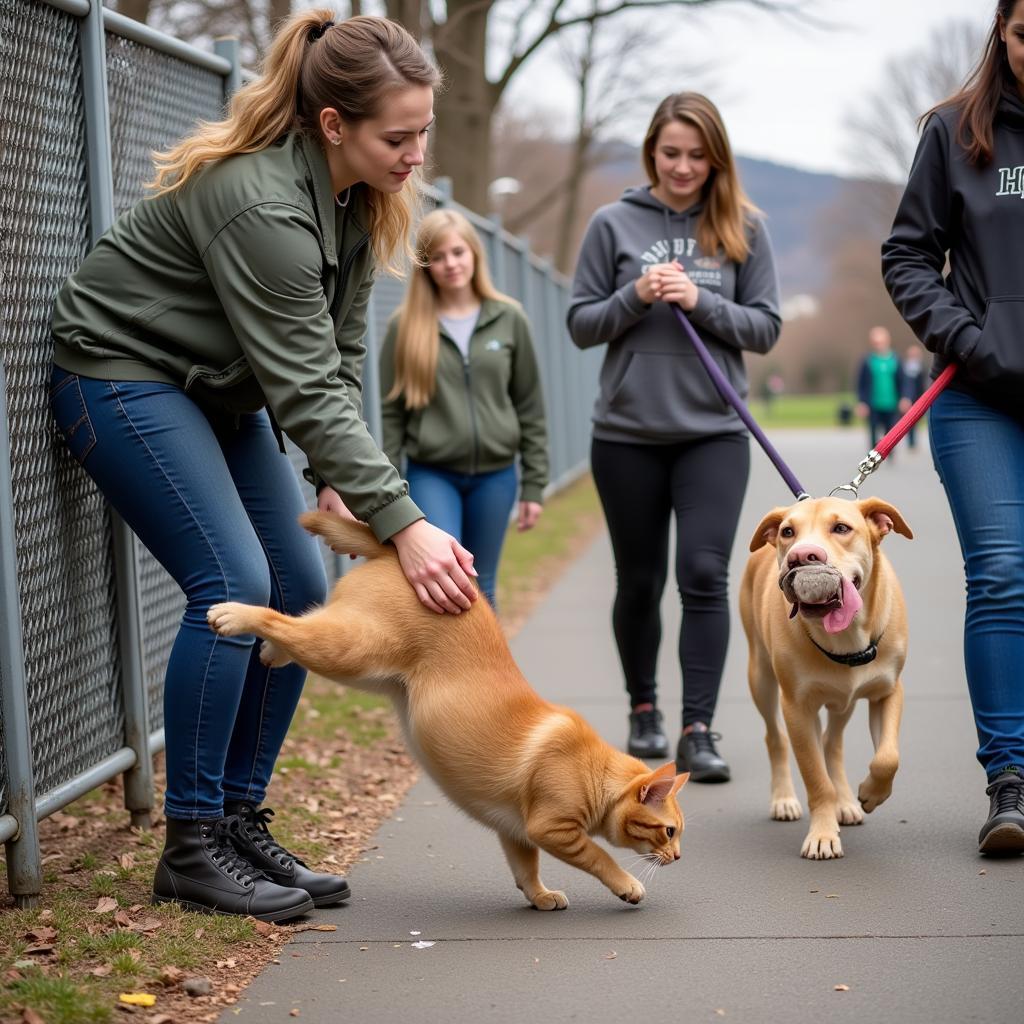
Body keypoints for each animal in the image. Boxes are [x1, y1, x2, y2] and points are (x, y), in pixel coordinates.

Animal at [205, 516, 688, 909]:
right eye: (669, 831)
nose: (679, 857)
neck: (593, 772)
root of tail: (394, 552)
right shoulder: (552, 828)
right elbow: (599, 856)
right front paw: (626, 884)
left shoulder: (516, 832)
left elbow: (525, 869)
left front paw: (540, 896)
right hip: (353, 650)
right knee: (281, 620)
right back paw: (234, 615)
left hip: (365, 666)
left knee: (298, 625)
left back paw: (272, 652)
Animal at [737, 495, 913, 856]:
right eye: (788, 532)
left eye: (842, 528)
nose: (802, 556)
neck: (846, 638)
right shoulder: (797, 709)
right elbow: (817, 780)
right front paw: (822, 834)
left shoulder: (888, 692)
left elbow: (887, 757)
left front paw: (871, 793)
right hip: (761, 677)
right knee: (776, 737)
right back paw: (784, 799)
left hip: (843, 702)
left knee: (832, 742)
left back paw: (845, 802)